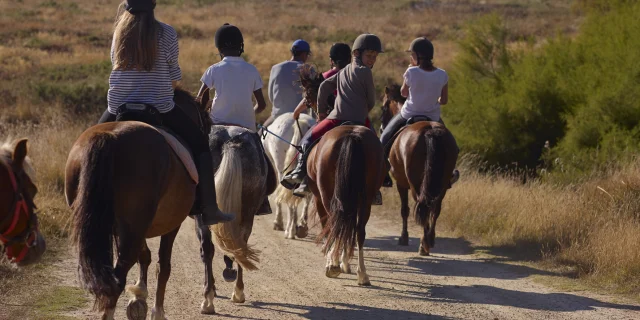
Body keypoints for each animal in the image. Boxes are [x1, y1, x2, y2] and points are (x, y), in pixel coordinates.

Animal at [65, 88, 210, 320]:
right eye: (207, 122)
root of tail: (110, 137)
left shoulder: (130, 226)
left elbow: (146, 256)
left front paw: (138, 297)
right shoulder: (171, 224)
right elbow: (163, 265)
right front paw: (157, 311)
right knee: (118, 277)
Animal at [298, 65, 382, 284]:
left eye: (308, 94)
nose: (310, 108)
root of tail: (352, 134)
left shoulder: (318, 196)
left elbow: (328, 224)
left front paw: (336, 261)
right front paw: (345, 262)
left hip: (327, 193)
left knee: (334, 220)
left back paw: (333, 265)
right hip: (366, 196)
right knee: (358, 229)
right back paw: (362, 273)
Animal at [382, 84, 458, 255]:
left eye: (383, 107)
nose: (382, 126)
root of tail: (430, 131)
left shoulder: (401, 183)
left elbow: (404, 209)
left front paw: (403, 238)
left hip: (415, 183)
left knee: (422, 205)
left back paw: (423, 245)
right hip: (442, 183)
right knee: (435, 207)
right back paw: (429, 240)